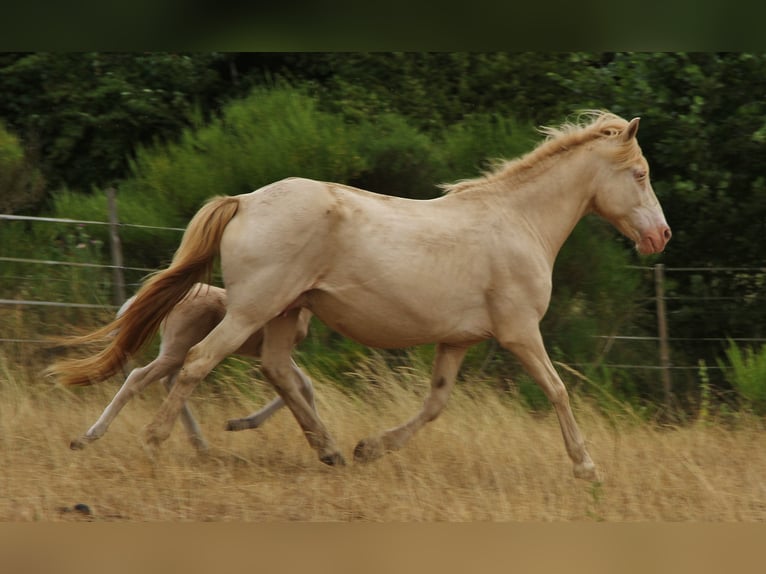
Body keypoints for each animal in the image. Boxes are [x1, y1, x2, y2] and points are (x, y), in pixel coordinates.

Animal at [69, 284, 313, 451]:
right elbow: (301, 384)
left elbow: (302, 383)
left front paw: (239, 423)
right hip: (176, 350)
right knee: (140, 377)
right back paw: (88, 437)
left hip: (178, 350)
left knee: (170, 381)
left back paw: (199, 444)